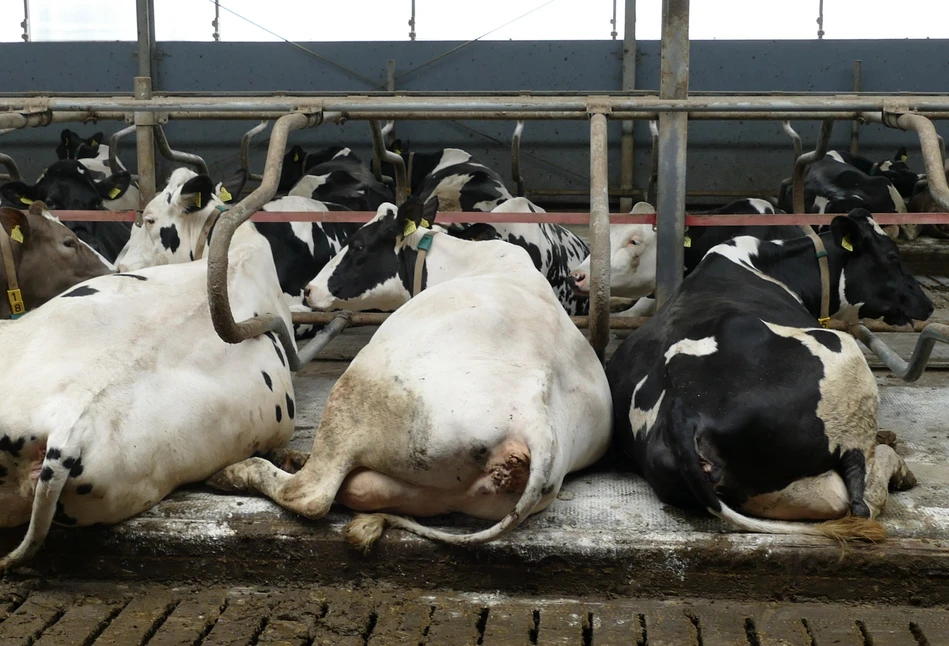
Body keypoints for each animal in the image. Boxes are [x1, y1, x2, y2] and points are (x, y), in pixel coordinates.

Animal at [208, 197, 616, 552]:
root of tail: (537, 422)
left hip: (359, 394)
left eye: (358, 245)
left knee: (311, 494)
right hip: (446, 493)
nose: (309, 290)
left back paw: (236, 472)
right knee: (357, 489)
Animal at [604, 209, 928, 540]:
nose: (926, 304)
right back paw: (898, 467)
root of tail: (683, 405)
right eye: (892, 256)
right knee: (860, 499)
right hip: (846, 357)